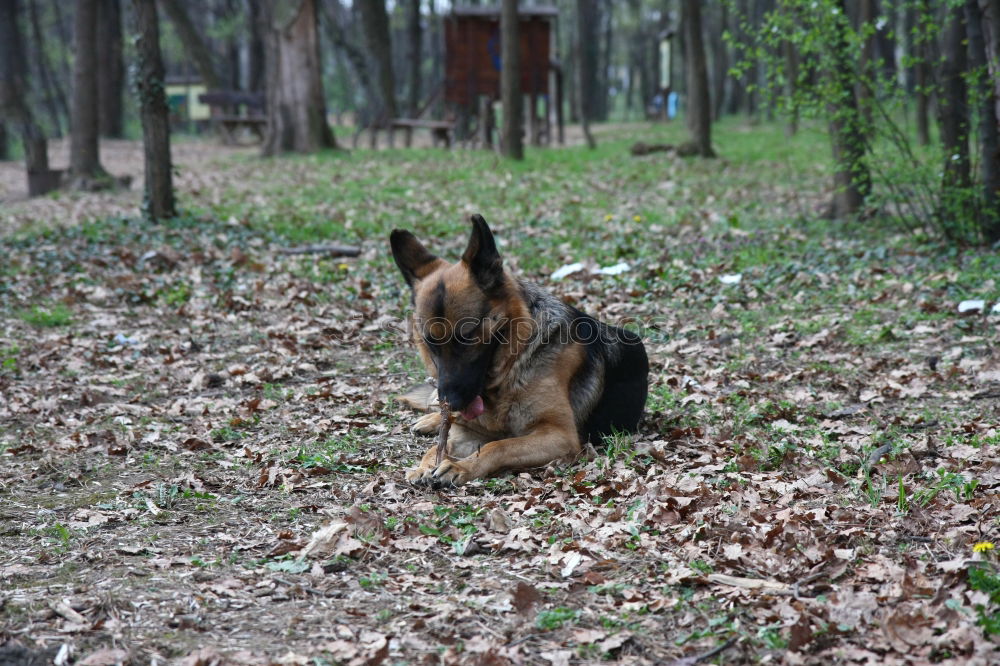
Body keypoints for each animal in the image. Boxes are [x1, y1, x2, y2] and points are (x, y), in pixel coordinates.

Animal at [390, 215, 648, 486]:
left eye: (467, 336)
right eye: (431, 342)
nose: (452, 403)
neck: (512, 366)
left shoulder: (559, 435)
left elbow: (498, 446)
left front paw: (460, 467)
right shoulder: (471, 430)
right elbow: (438, 447)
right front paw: (426, 464)